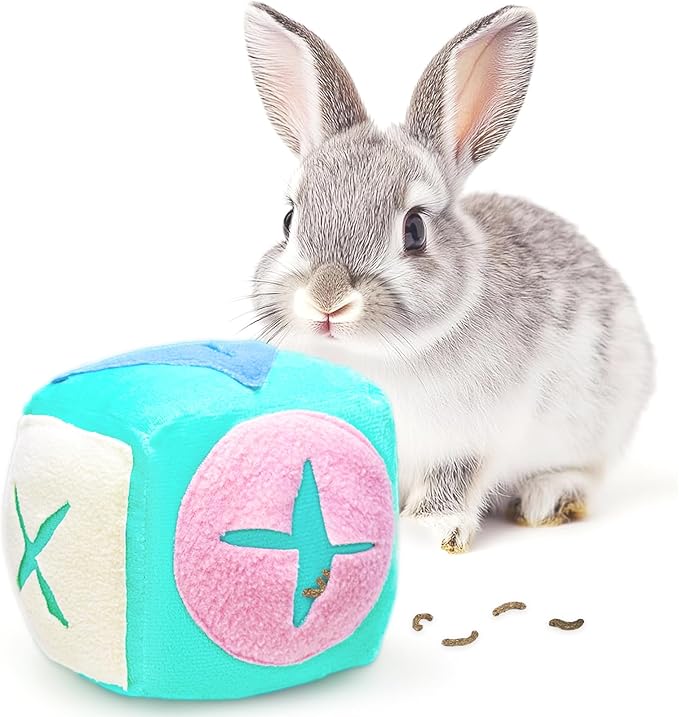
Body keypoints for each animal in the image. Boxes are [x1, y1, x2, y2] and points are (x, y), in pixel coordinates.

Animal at [243, 2, 655, 552]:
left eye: (414, 229)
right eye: (289, 220)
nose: (326, 299)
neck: (375, 356)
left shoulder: (469, 441)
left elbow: (450, 482)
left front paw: (429, 532)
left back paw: (548, 498)